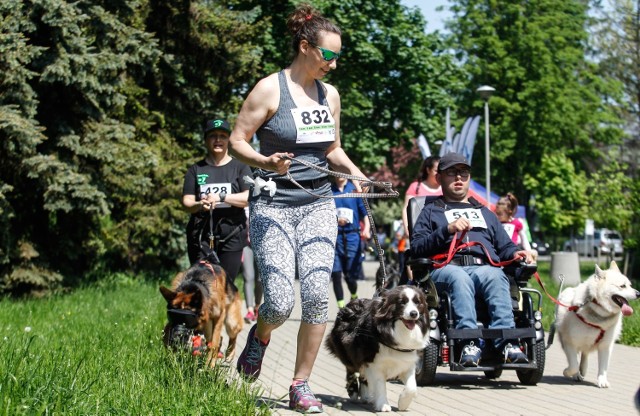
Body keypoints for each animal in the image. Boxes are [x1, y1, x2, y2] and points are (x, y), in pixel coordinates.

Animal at [324, 284, 430, 412]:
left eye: (417, 302)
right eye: (402, 302)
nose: (414, 313)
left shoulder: (406, 362)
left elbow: (412, 388)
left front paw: (403, 403)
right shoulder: (375, 363)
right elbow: (380, 384)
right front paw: (383, 405)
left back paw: (365, 396)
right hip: (349, 351)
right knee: (352, 369)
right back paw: (353, 391)